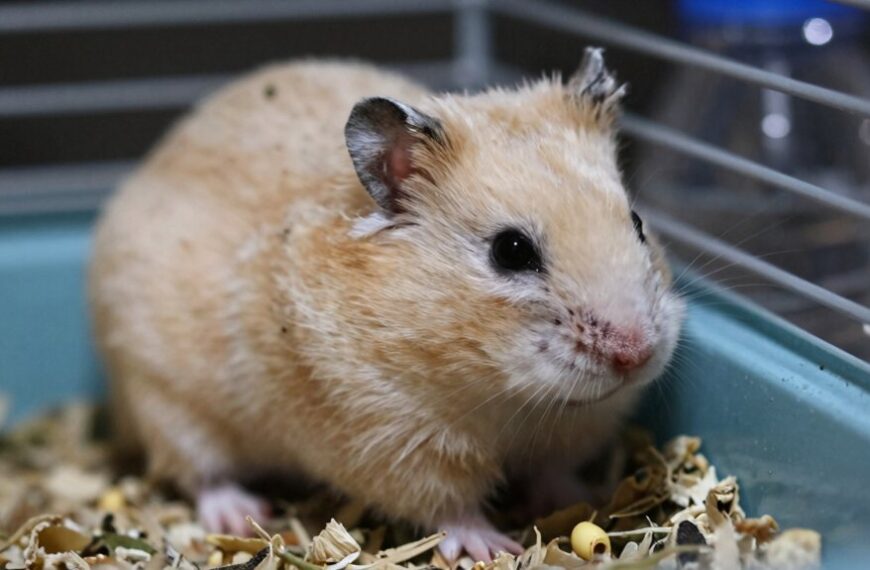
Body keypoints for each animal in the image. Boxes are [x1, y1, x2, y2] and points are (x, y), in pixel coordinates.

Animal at [88, 48, 684, 562]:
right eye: (511, 251)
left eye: (636, 222)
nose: (635, 354)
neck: (505, 395)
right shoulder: (393, 439)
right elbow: (451, 506)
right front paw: (493, 547)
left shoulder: (569, 429)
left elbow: (553, 471)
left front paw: (581, 499)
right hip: (165, 403)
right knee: (199, 473)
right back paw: (239, 511)